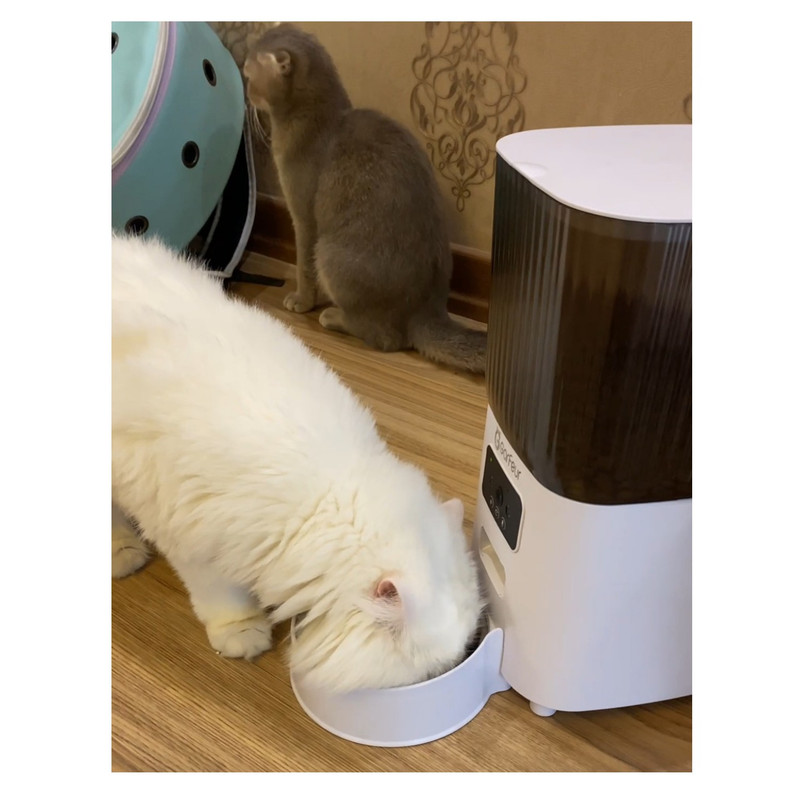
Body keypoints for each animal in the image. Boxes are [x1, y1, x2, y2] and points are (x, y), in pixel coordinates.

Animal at [111, 232, 483, 692]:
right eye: (429, 673)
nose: (448, 672)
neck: (325, 494)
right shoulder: (192, 538)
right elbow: (221, 597)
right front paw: (242, 634)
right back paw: (123, 555)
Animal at [243, 24, 487, 373]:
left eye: (248, 74)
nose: (245, 93)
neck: (318, 119)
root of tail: (426, 312)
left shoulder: (304, 218)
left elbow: (303, 265)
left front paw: (302, 300)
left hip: (330, 252)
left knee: (386, 339)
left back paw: (333, 316)